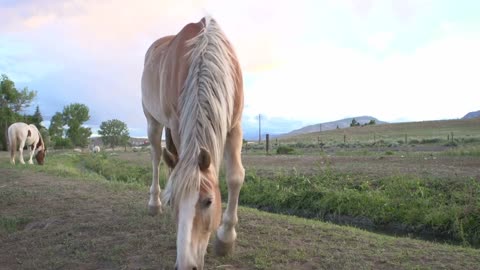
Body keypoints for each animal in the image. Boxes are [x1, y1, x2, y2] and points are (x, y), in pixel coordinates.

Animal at [140, 16, 244, 270]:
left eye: (208, 201)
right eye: (174, 202)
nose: (186, 265)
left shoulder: (234, 124)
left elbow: (235, 177)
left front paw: (225, 238)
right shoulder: (177, 125)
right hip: (153, 121)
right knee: (156, 157)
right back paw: (154, 203)